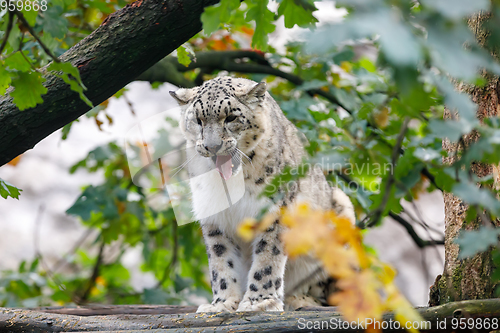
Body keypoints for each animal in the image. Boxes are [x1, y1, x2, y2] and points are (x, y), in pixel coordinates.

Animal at [170, 76, 354, 312]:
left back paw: (299, 300)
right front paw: (222, 303)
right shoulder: (215, 218)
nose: (212, 146)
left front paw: (259, 302)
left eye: (231, 117)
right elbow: (221, 260)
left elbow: (268, 256)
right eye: (198, 120)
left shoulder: (275, 209)